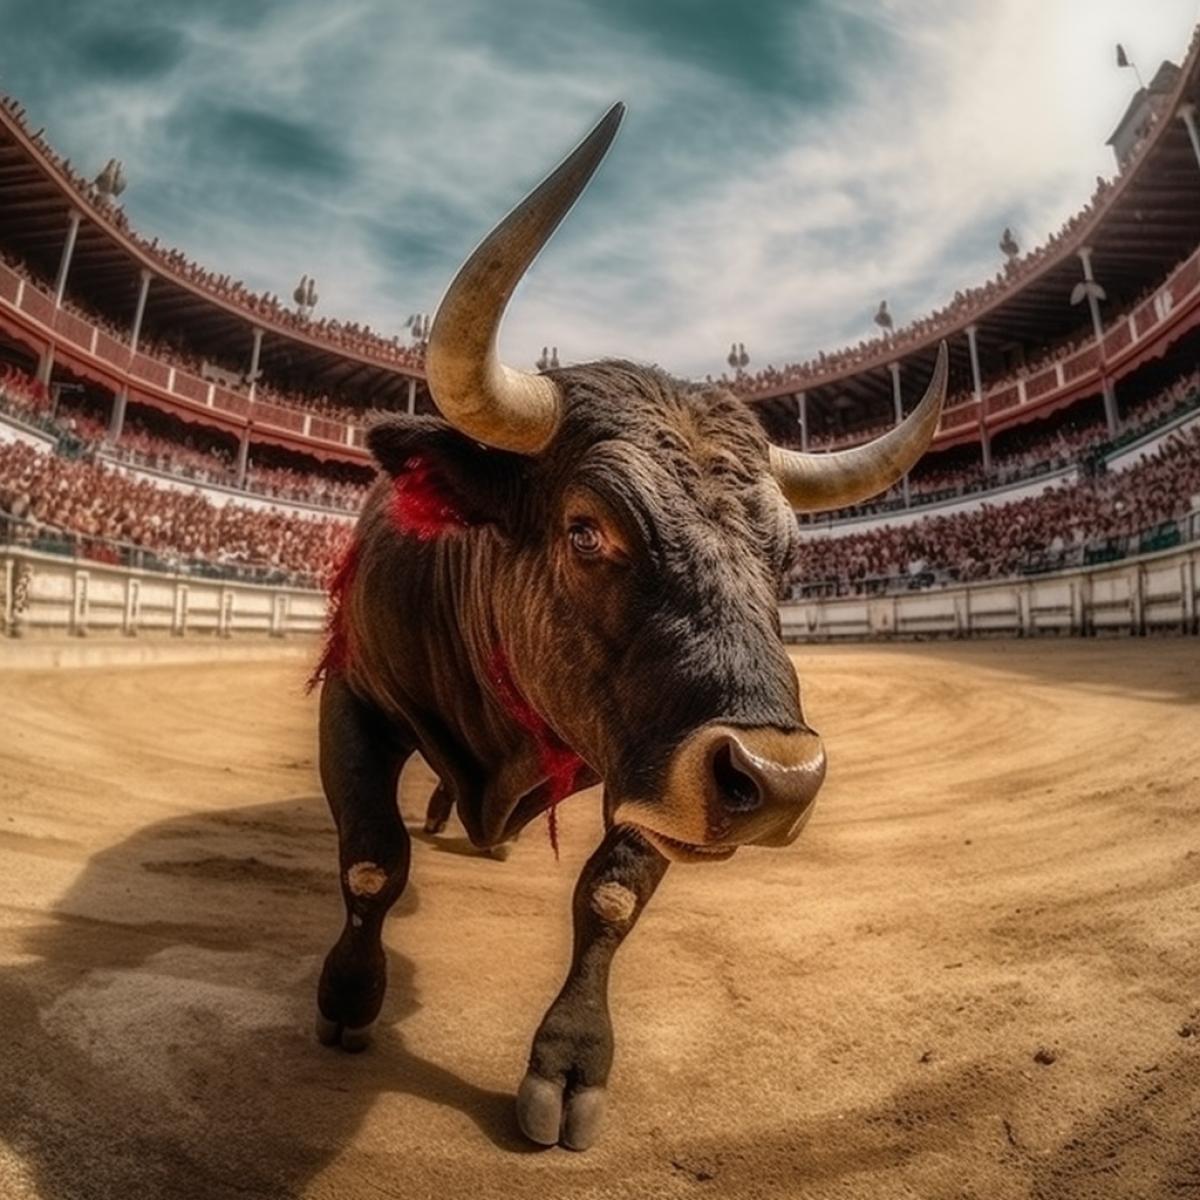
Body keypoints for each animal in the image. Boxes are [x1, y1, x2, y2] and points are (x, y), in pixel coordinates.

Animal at [312, 102, 947, 1151]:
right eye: (587, 528)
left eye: (788, 555)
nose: (779, 779)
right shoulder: (355, 698)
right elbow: (371, 863)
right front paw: (349, 999)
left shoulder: (656, 765)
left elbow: (608, 897)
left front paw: (569, 1062)